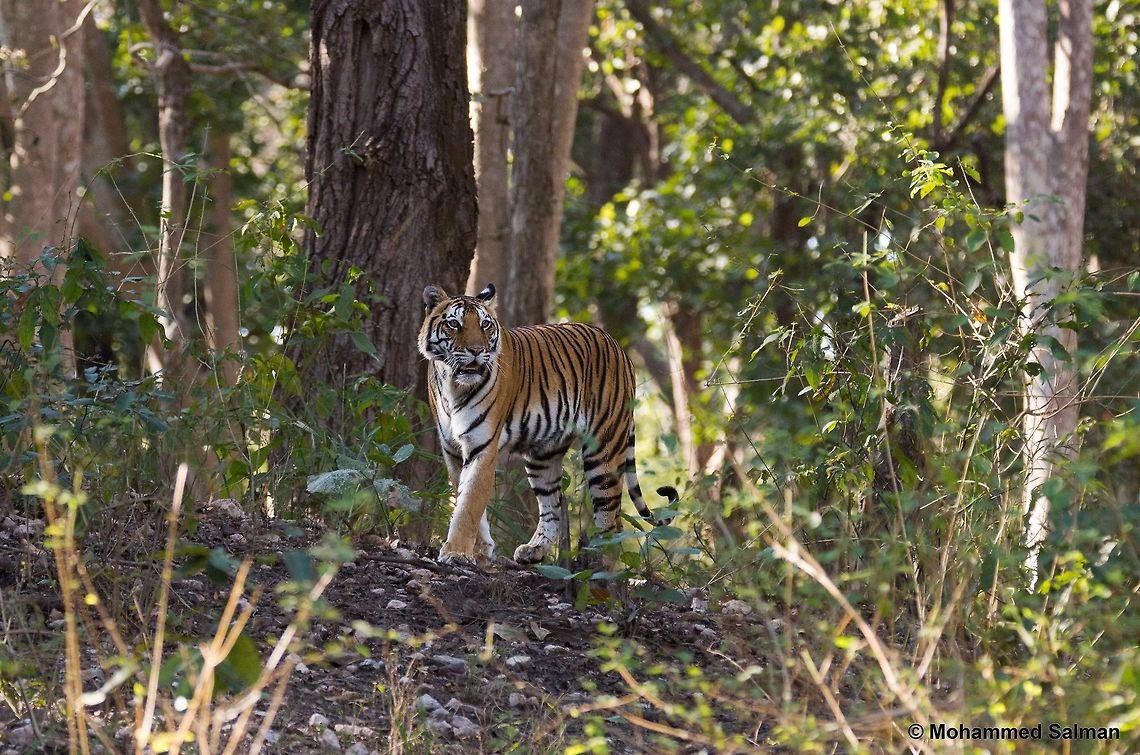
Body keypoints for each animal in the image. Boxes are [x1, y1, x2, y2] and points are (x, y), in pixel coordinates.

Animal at [418, 282, 678, 566]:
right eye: (454, 324)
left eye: (485, 325)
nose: (476, 351)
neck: (452, 384)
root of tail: (619, 348)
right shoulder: (453, 451)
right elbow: (466, 499)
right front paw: (481, 550)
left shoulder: (482, 448)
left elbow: (469, 505)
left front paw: (456, 552)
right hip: (543, 456)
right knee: (551, 507)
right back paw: (534, 550)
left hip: (603, 451)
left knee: (612, 522)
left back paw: (601, 570)